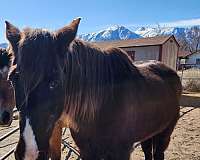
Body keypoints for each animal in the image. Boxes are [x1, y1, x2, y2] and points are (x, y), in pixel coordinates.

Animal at [5, 19, 181, 160]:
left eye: (55, 82)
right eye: (12, 79)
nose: (29, 153)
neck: (104, 105)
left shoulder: (122, 152)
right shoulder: (87, 151)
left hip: (165, 133)